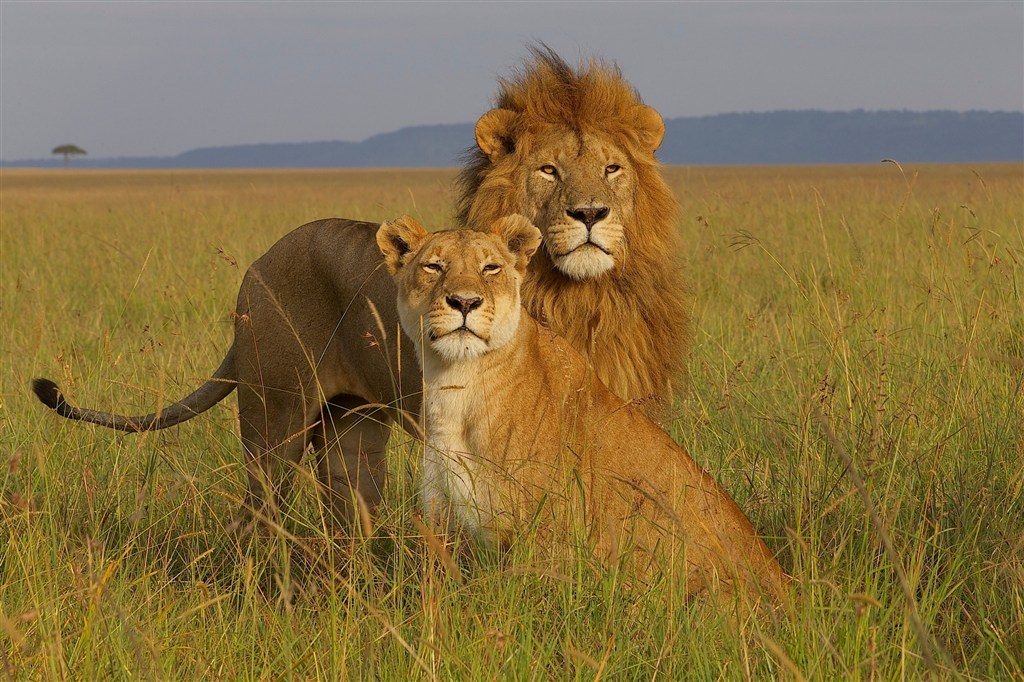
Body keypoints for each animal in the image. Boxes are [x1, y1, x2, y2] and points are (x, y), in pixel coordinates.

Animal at [32, 47, 692, 524]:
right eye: (549, 171)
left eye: (612, 169)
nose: (590, 213)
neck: (583, 295)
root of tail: (260, 261)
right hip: (275, 416)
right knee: (257, 517)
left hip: (352, 429)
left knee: (348, 519)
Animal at [376, 214, 782, 602]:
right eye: (434, 267)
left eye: (490, 268)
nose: (464, 302)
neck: (457, 385)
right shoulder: (445, 523)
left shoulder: (544, 533)